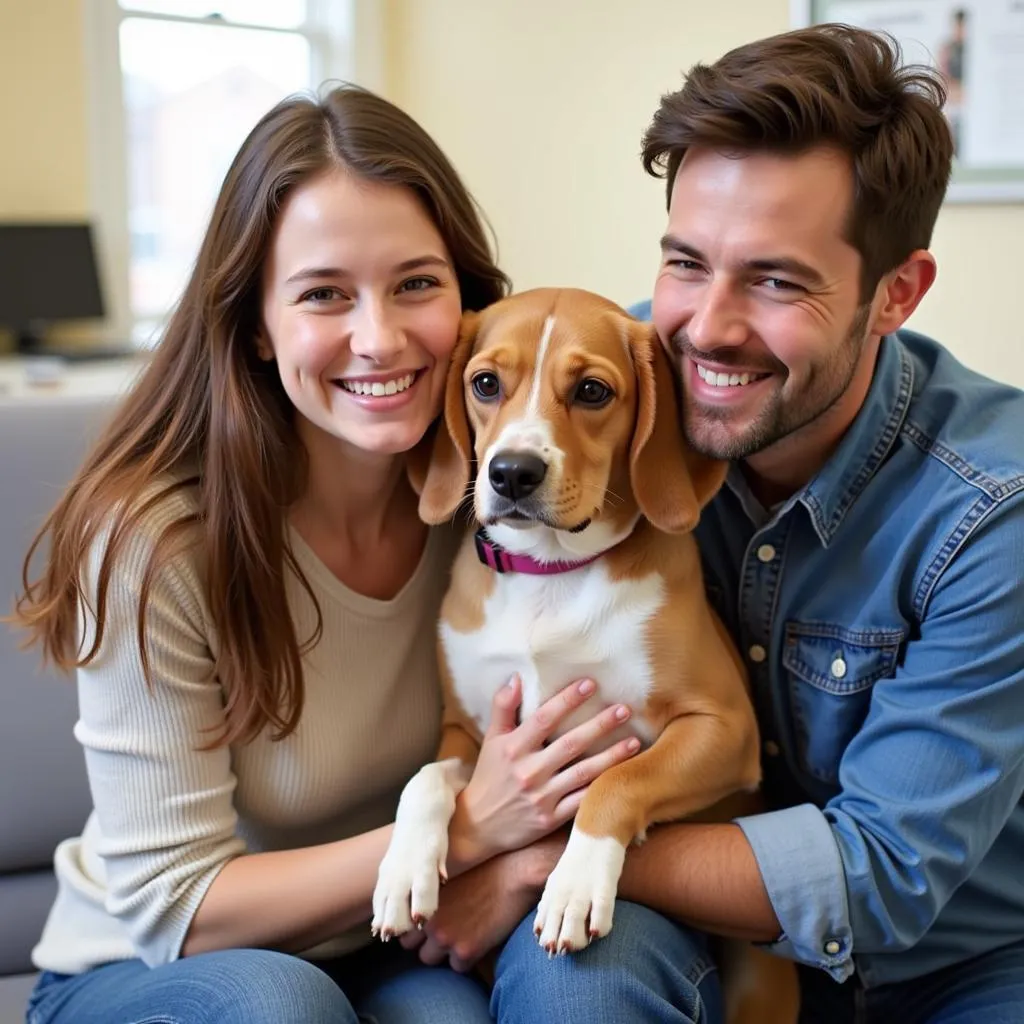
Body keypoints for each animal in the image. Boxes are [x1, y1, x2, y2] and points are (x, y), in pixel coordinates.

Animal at [374, 284, 798, 1019]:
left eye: (593, 391)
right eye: (485, 384)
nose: (512, 473)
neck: (550, 576)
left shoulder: (725, 728)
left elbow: (617, 780)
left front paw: (575, 882)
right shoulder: (469, 732)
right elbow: (424, 778)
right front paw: (403, 869)